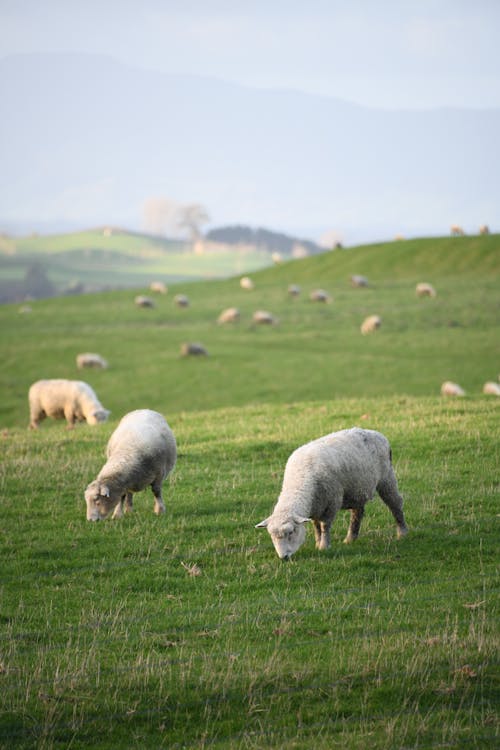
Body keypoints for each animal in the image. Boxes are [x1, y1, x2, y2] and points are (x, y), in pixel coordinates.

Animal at [256, 426, 408, 560]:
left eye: (291, 532)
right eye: (271, 536)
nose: (284, 558)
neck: (300, 480)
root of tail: (376, 433)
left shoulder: (332, 501)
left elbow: (324, 525)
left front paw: (324, 546)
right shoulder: (316, 505)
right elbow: (316, 526)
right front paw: (318, 543)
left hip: (386, 478)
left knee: (395, 503)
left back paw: (402, 532)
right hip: (357, 488)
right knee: (357, 513)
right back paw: (350, 539)